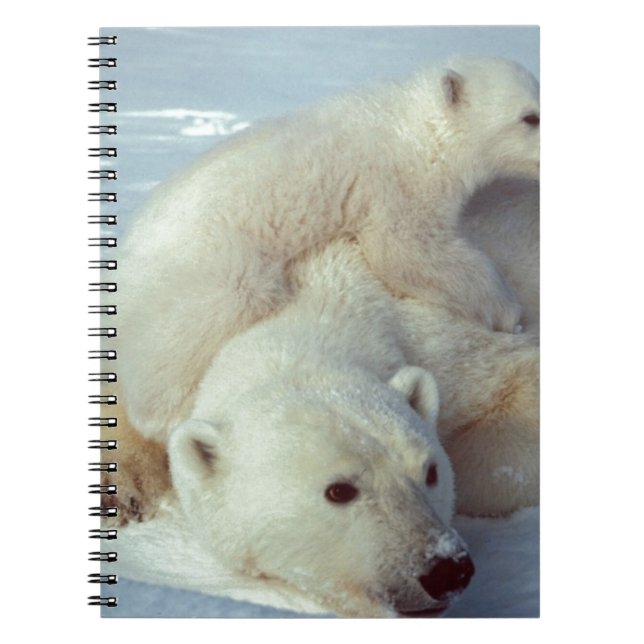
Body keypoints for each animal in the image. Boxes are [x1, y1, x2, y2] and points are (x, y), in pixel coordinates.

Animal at [104, 178, 539, 617]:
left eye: (430, 471)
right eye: (339, 490)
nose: (446, 569)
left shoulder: (453, 347)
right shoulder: (162, 348)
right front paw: (120, 495)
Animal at [115, 57, 540, 439]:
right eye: (529, 117)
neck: (415, 126)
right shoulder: (396, 182)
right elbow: (407, 250)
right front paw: (508, 312)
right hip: (207, 263)